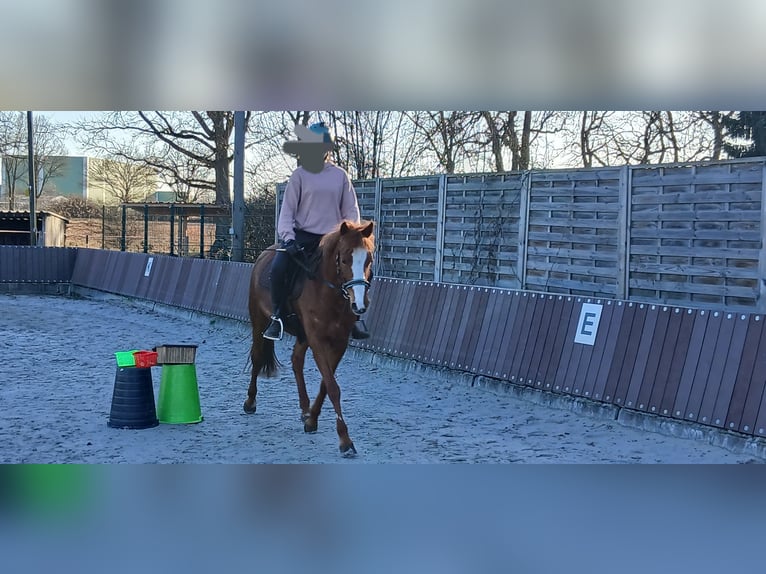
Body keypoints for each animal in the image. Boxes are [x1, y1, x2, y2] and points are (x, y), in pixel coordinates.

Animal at [244, 219, 375, 456]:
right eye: (344, 259)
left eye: (368, 260)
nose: (359, 305)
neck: (328, 293)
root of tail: (264, 254)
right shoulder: (317, 340)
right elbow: (332, 387)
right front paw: (345, 440)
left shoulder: (339, 343)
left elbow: (326, 384)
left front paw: (312, 420)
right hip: (258, 320)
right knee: (258, 357)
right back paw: (250, 402)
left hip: (302, 335)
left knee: (296, 360)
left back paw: (305, 409)